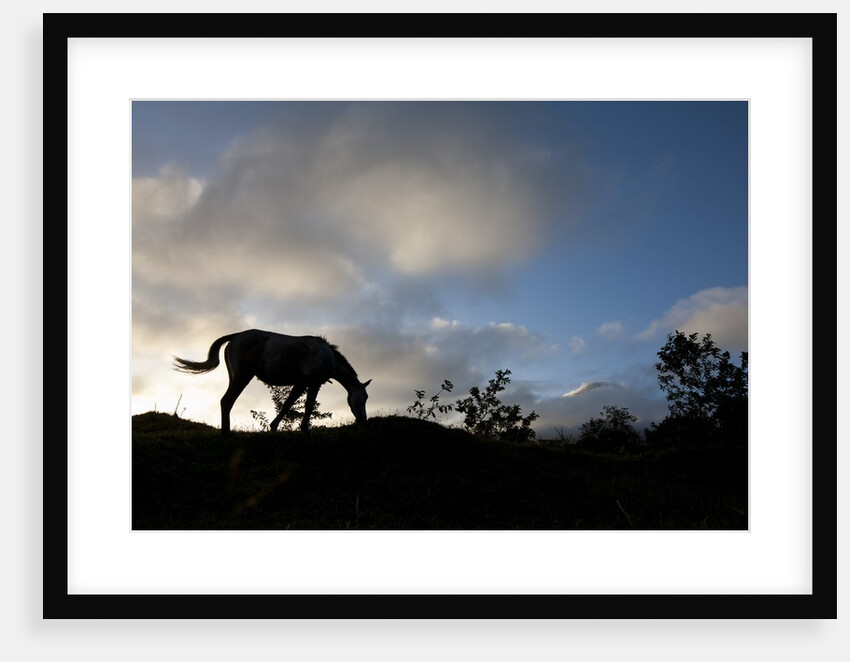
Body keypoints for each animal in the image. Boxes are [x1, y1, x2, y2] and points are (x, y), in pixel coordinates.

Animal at [173, 329, 371, 435]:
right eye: (365, 397)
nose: (363, 420)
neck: (328, 356)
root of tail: (236, 336)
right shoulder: (313, 383)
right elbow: (307, 406)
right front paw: (305, 430)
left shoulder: (300, 384)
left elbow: (287, 405)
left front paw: (274, 427)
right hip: (243, 376)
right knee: (227, 401)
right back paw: (226, 434)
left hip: (234, 377)